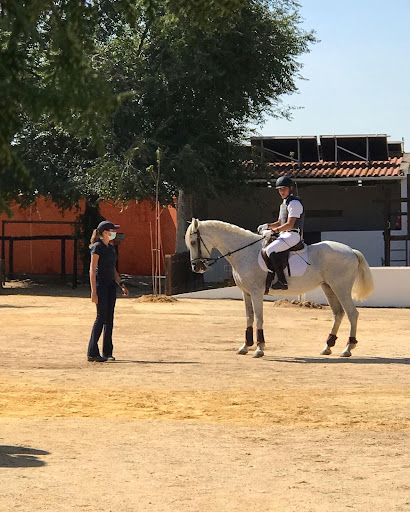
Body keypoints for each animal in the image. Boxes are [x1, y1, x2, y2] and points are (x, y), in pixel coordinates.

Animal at [186, 218, 374, 358]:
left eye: (194, 242)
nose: (196, 268)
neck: (245, 253)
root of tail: (350, 250)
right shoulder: (246, 293)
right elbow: (248, 318)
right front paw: (245, 347)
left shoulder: (256, 292)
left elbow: (259, 318)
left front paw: (259, 349)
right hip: (328, 287)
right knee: (338, 314)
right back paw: (328, 346)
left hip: (341, 287)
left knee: (352, 313)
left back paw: (347, 348)